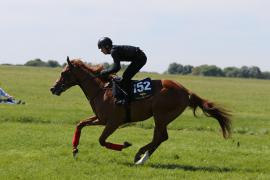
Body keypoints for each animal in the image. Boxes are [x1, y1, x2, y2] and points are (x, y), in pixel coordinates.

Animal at [49, 56, 231, 165]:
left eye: (63, 73)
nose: (53, 88)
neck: (102, 90)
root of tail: (186, 91)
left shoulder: (113, 122)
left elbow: (101, 140)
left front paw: (124, 145)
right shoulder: (101, 119)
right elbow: (80, 124)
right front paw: (74, 150)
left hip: (161, 116)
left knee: (160, 137)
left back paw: (140, 157)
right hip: (161, 118)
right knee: (159, 137)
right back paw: (142, 157)